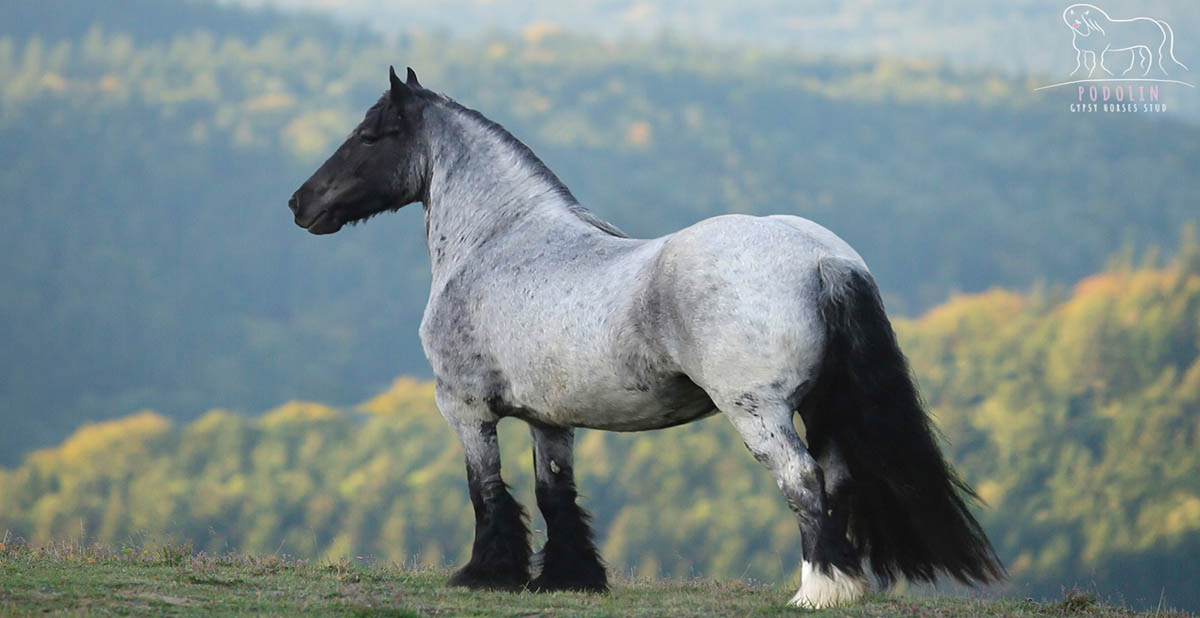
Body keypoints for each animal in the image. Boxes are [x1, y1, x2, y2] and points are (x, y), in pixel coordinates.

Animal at [288, 67, 1003, 609]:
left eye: (369, 134)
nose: (301, 204)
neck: (501, 241)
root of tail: (822, 258)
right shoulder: (550, 419)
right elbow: (554, 494)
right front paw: (569, 579)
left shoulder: (465, 409)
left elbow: (485, 488)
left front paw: (488, 574)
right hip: (821, 408)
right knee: (836, 479)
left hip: (760, 413)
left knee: (803, 481)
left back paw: (818, 591)